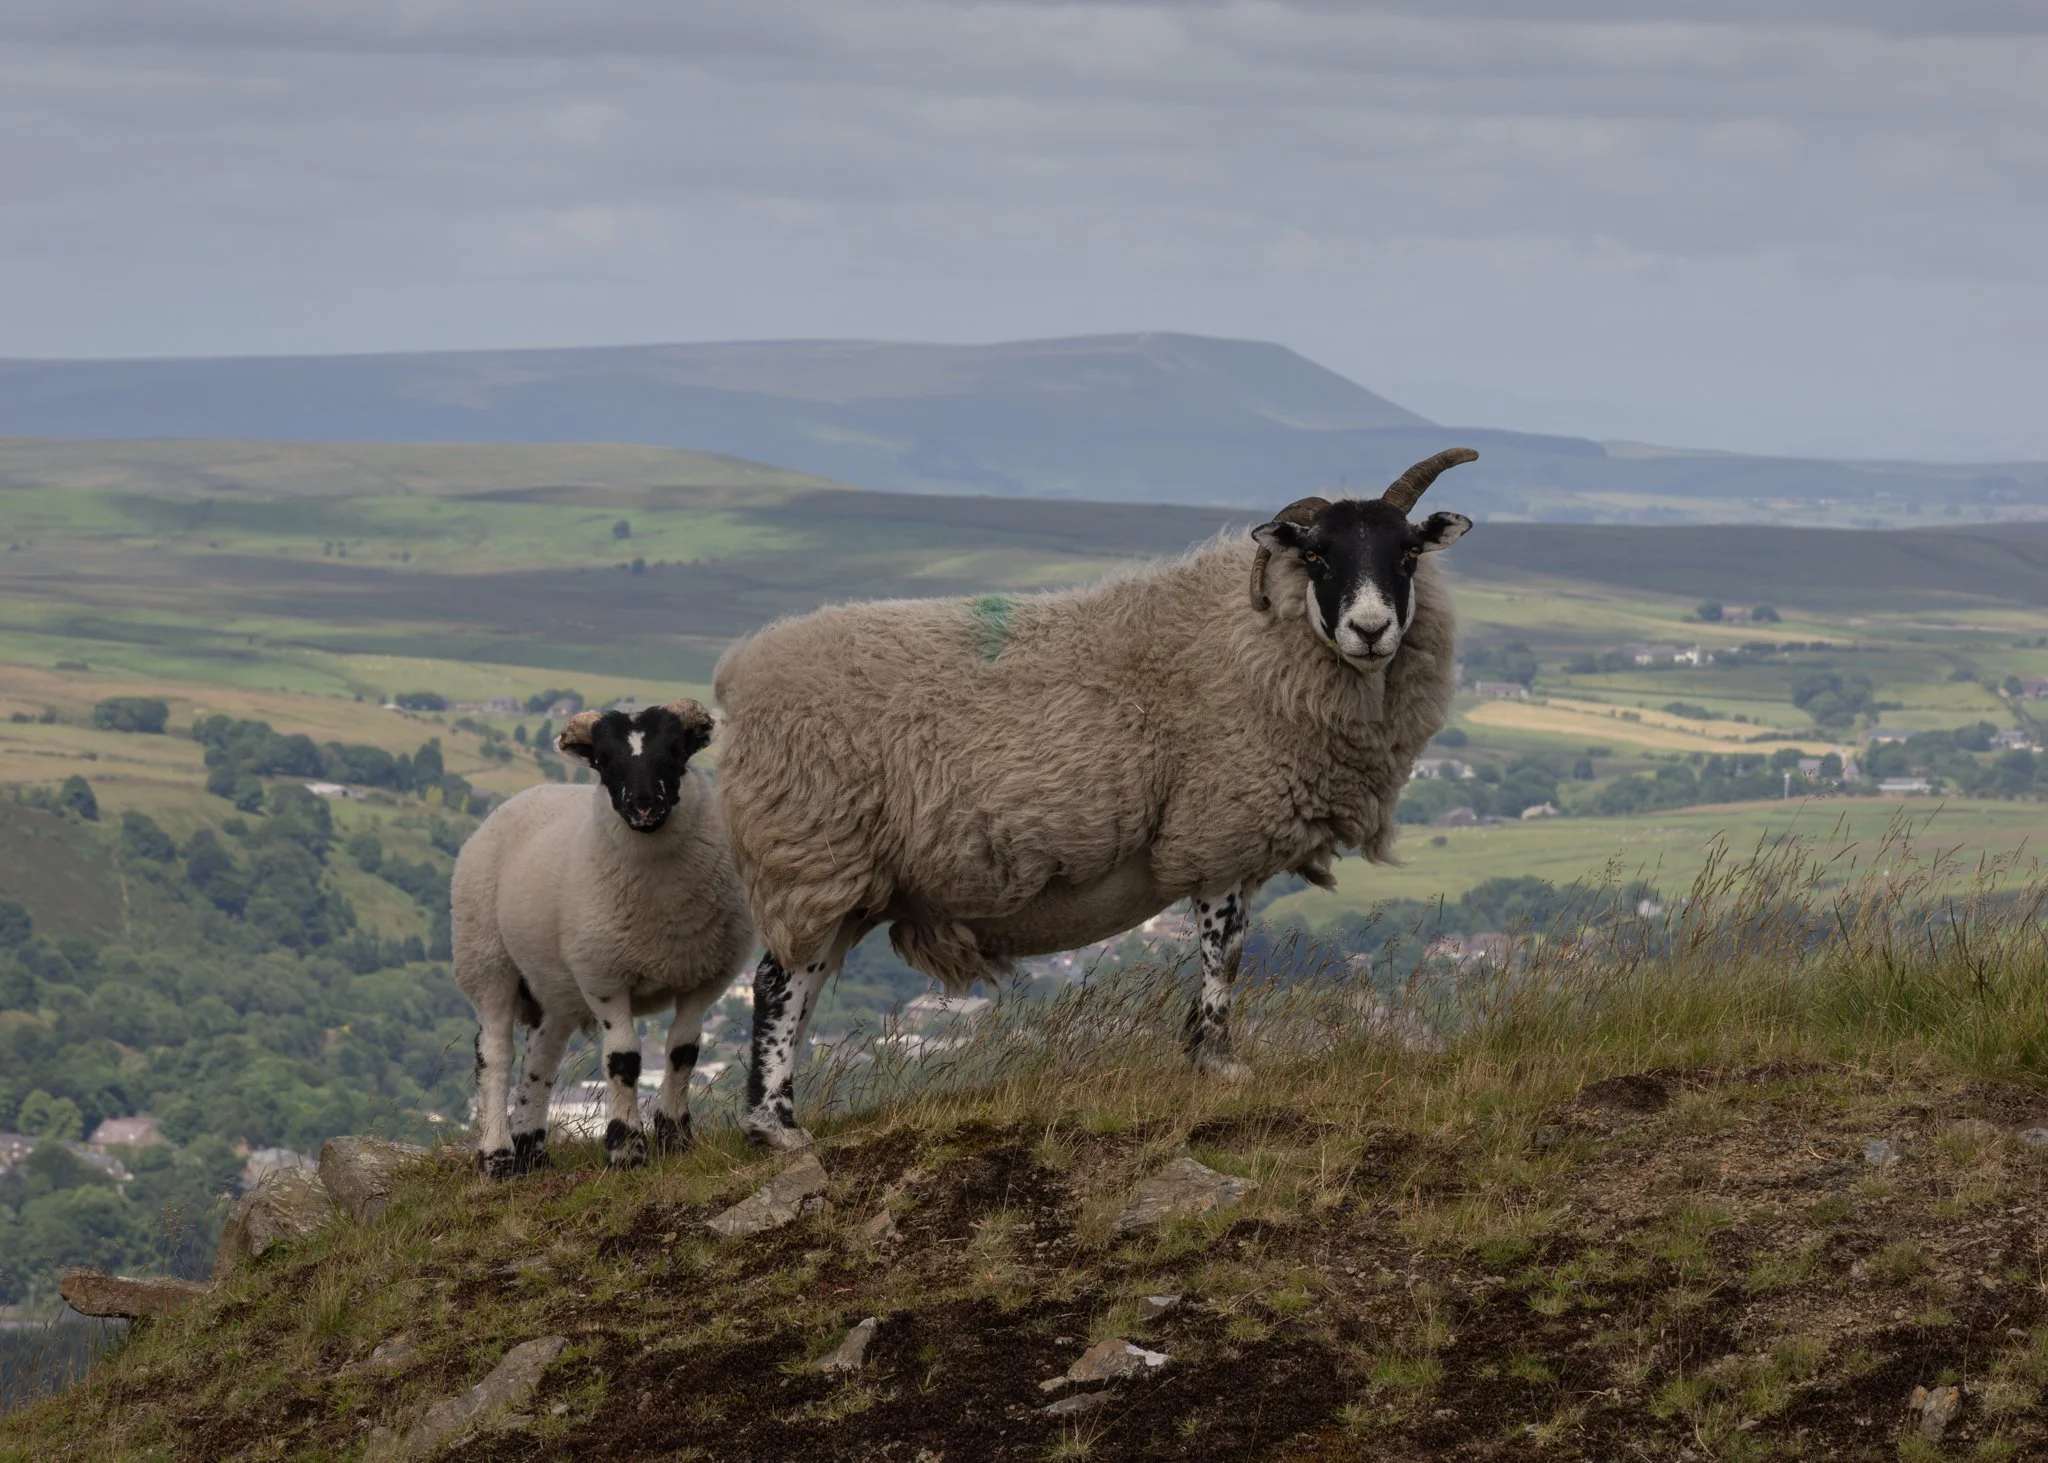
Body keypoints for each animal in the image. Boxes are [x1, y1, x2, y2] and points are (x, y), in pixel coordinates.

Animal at [451, 699, 754, 1176]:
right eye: (605, 761)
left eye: (675, 751)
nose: (644, 805)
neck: (665, 908)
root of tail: (524, 796)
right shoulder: (604, 977)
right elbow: (624, 1058)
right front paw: (626, 1148)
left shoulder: (704, 977)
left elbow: (682, 1051)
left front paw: (676, 1138)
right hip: (486, 959)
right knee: (495, 1054)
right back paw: (498, 1156)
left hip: (555, 985)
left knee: (541, 1056)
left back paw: (532, 1151)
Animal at [713, 448, 1479, 1149]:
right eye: (1318, 557)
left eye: (1408, 552)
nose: (1371, 629)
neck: (1254, 637)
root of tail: (738, 674)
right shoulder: (1215, 830)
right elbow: (1223, 953)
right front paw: (1217, 1062)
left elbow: (1226, 954)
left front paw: (1201, 1050)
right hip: (810, 849)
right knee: (779, 982)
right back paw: (775, 1125)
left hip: (846, 873)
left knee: (804, 982)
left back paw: (775, 1119)